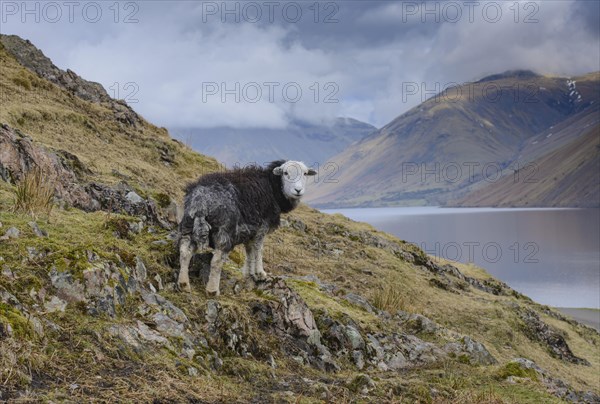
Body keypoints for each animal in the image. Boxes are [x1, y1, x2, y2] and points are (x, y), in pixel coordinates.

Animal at [178, 159, 318, 296]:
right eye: (285, 173)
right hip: (225, 231)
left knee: (185, 252)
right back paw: (212, 290)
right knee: (216, 261)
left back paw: (183, 284)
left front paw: (249, 273)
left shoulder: (249, 231)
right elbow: (258, 249)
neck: (273, 187)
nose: (298, 190)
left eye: (305, 174)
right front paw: (260, 273)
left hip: (187, 225)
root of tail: (201, 202)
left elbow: (249, 251)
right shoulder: (262, 228)